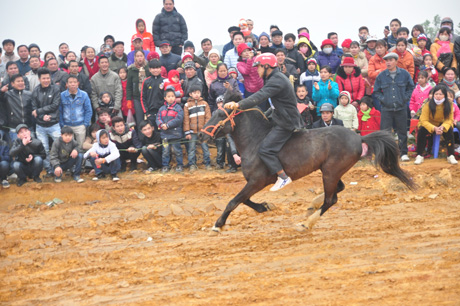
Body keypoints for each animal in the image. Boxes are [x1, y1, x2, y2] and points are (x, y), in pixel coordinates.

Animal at [199, 91, 416, 232]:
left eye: (220, 114)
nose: (201, 135)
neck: (256, 140)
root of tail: (359, 137)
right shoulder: (253, 183)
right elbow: (243, 200)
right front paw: (265, 206)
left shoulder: (257, 181)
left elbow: (234, 201)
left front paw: (218, 224)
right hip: (331, 171)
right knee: (338, 189)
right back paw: (311, 206)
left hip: (330, 171)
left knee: (331, 199)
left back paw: (306, 223)